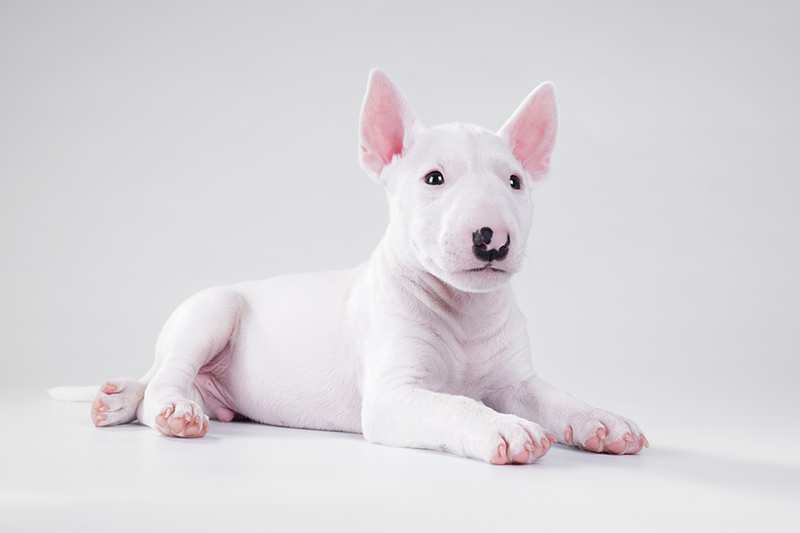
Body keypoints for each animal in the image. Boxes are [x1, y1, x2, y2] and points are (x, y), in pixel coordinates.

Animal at [50, 69, 648, 462]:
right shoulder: (392, 397)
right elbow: (458, 406)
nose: (492, 239)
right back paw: (168, 409)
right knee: (165, 378)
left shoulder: (517, 380)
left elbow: (556, 397)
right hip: (210, 311)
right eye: (434, 178)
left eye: (515, 182)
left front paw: (603, 421)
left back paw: (117, 401)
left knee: (150, 380)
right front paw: (508, 431)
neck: (462, 311)